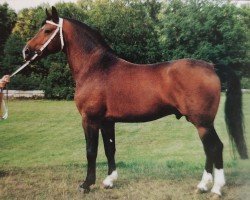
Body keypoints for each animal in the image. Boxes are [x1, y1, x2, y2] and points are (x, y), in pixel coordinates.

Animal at [22, 6, 247, 197]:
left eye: (47, 30)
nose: (26, 51)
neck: (95, 67)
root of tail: (210, 66)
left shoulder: (90, 120)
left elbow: (91, 151)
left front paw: (86, 184)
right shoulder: (107, 121)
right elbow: (109, 149)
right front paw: (109, 181)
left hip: (202, 122)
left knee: (216, 147)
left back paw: (216, 188)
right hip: (202, 123)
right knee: (209, 149)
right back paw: (203, 185)